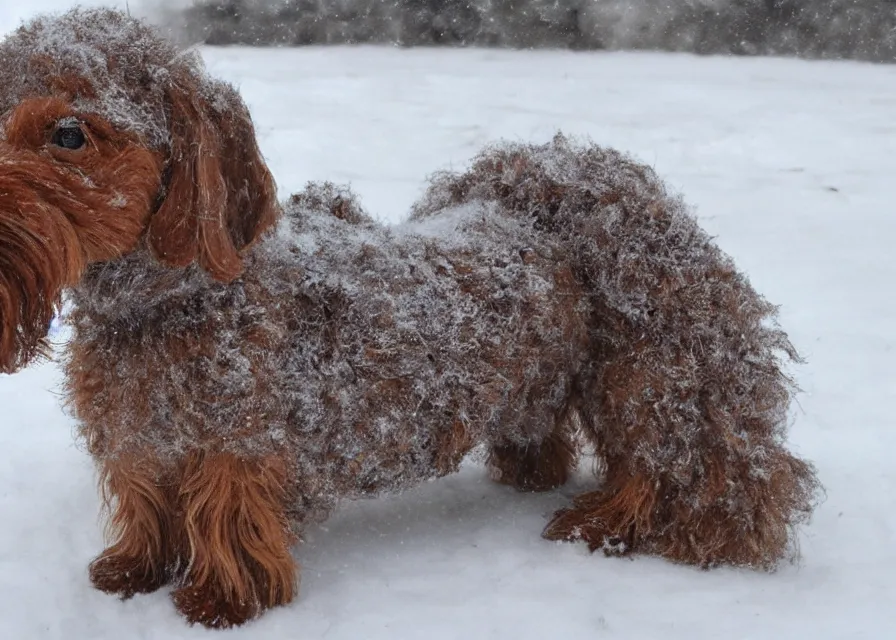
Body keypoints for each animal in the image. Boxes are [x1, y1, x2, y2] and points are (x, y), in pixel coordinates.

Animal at [0, 7, 820, 628]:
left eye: (69, 133)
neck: (156, 307)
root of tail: (550, 193)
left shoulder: (242, 439)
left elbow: (227, 515)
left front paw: (222, 598)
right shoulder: (135, 435)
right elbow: (148, 504)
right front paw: (134, 570)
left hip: (650, 372)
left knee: (668, 471)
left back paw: (605, 523)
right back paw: (534, 474)